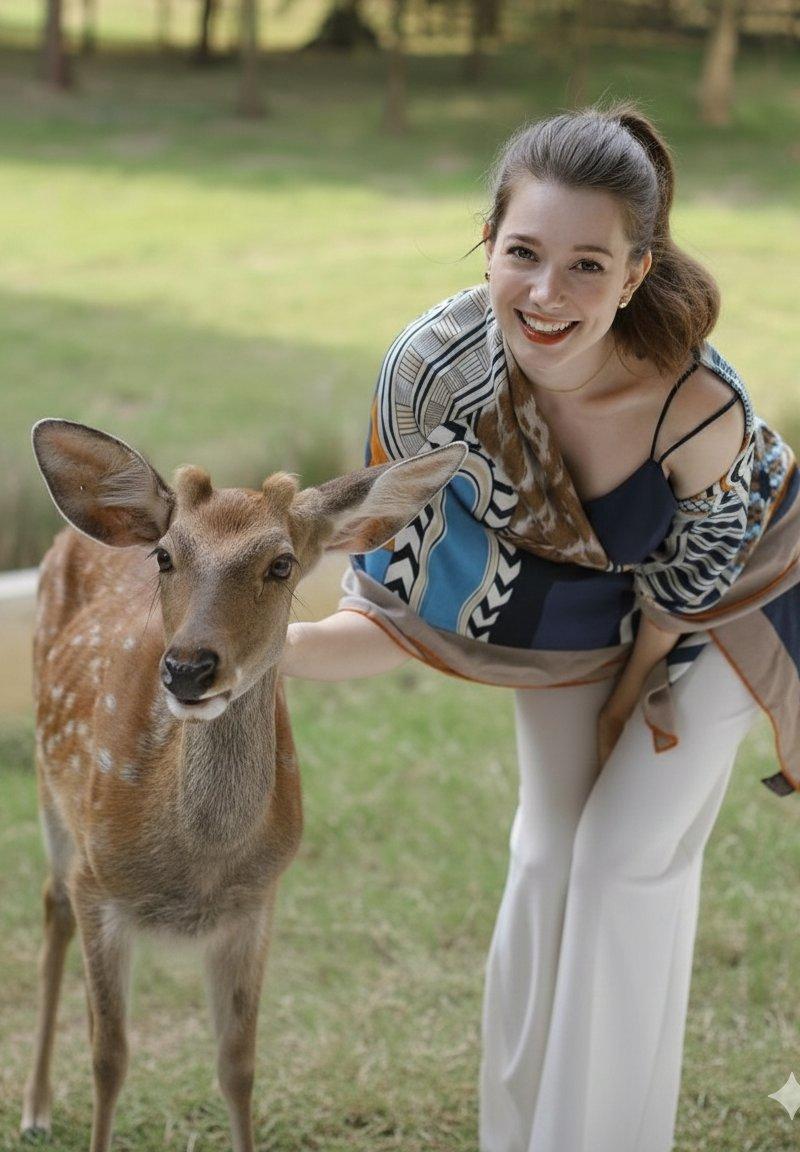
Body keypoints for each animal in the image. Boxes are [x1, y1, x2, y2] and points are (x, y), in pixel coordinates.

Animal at [23, 418, 466, 1152]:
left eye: (281, 564)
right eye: (166, 557)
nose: (188, 668)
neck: (198, 862)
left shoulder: (256, 901)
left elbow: (238, 1065)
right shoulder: (99, 885)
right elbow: (109, 1057)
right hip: (50, 790)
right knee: (51, 904)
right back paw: (33, 1109)